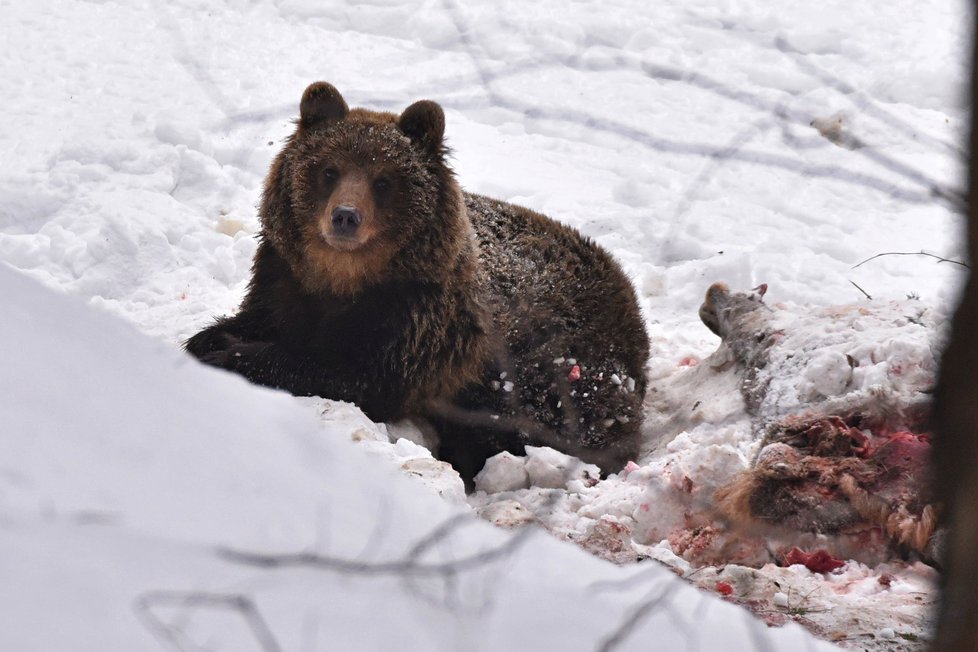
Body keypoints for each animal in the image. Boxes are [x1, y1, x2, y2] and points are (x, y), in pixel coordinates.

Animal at [187, 81, 652, 484]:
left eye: (384, 180)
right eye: (329, 170)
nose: (345, 216)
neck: (343, 280)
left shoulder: (416, 321)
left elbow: (348, 372)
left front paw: (232, 357)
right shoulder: (284, 279)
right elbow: (258, 319)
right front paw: (208, 340)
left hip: (555, 365)